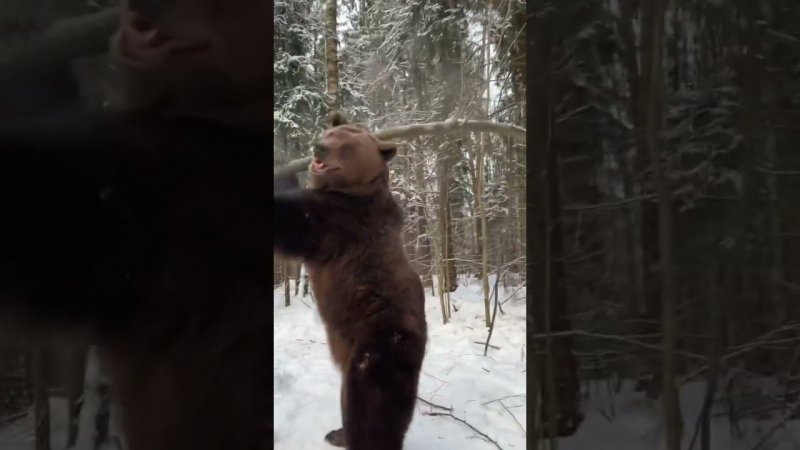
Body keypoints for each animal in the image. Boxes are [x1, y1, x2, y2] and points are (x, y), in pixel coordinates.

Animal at [272, 111, 428, 446]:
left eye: (347, 146)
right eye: (330, 133)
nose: (319, 148)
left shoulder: (340, 221)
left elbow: (293, 219)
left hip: (379, 347)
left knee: (369, 409)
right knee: (348, 399)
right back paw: (337, 433)